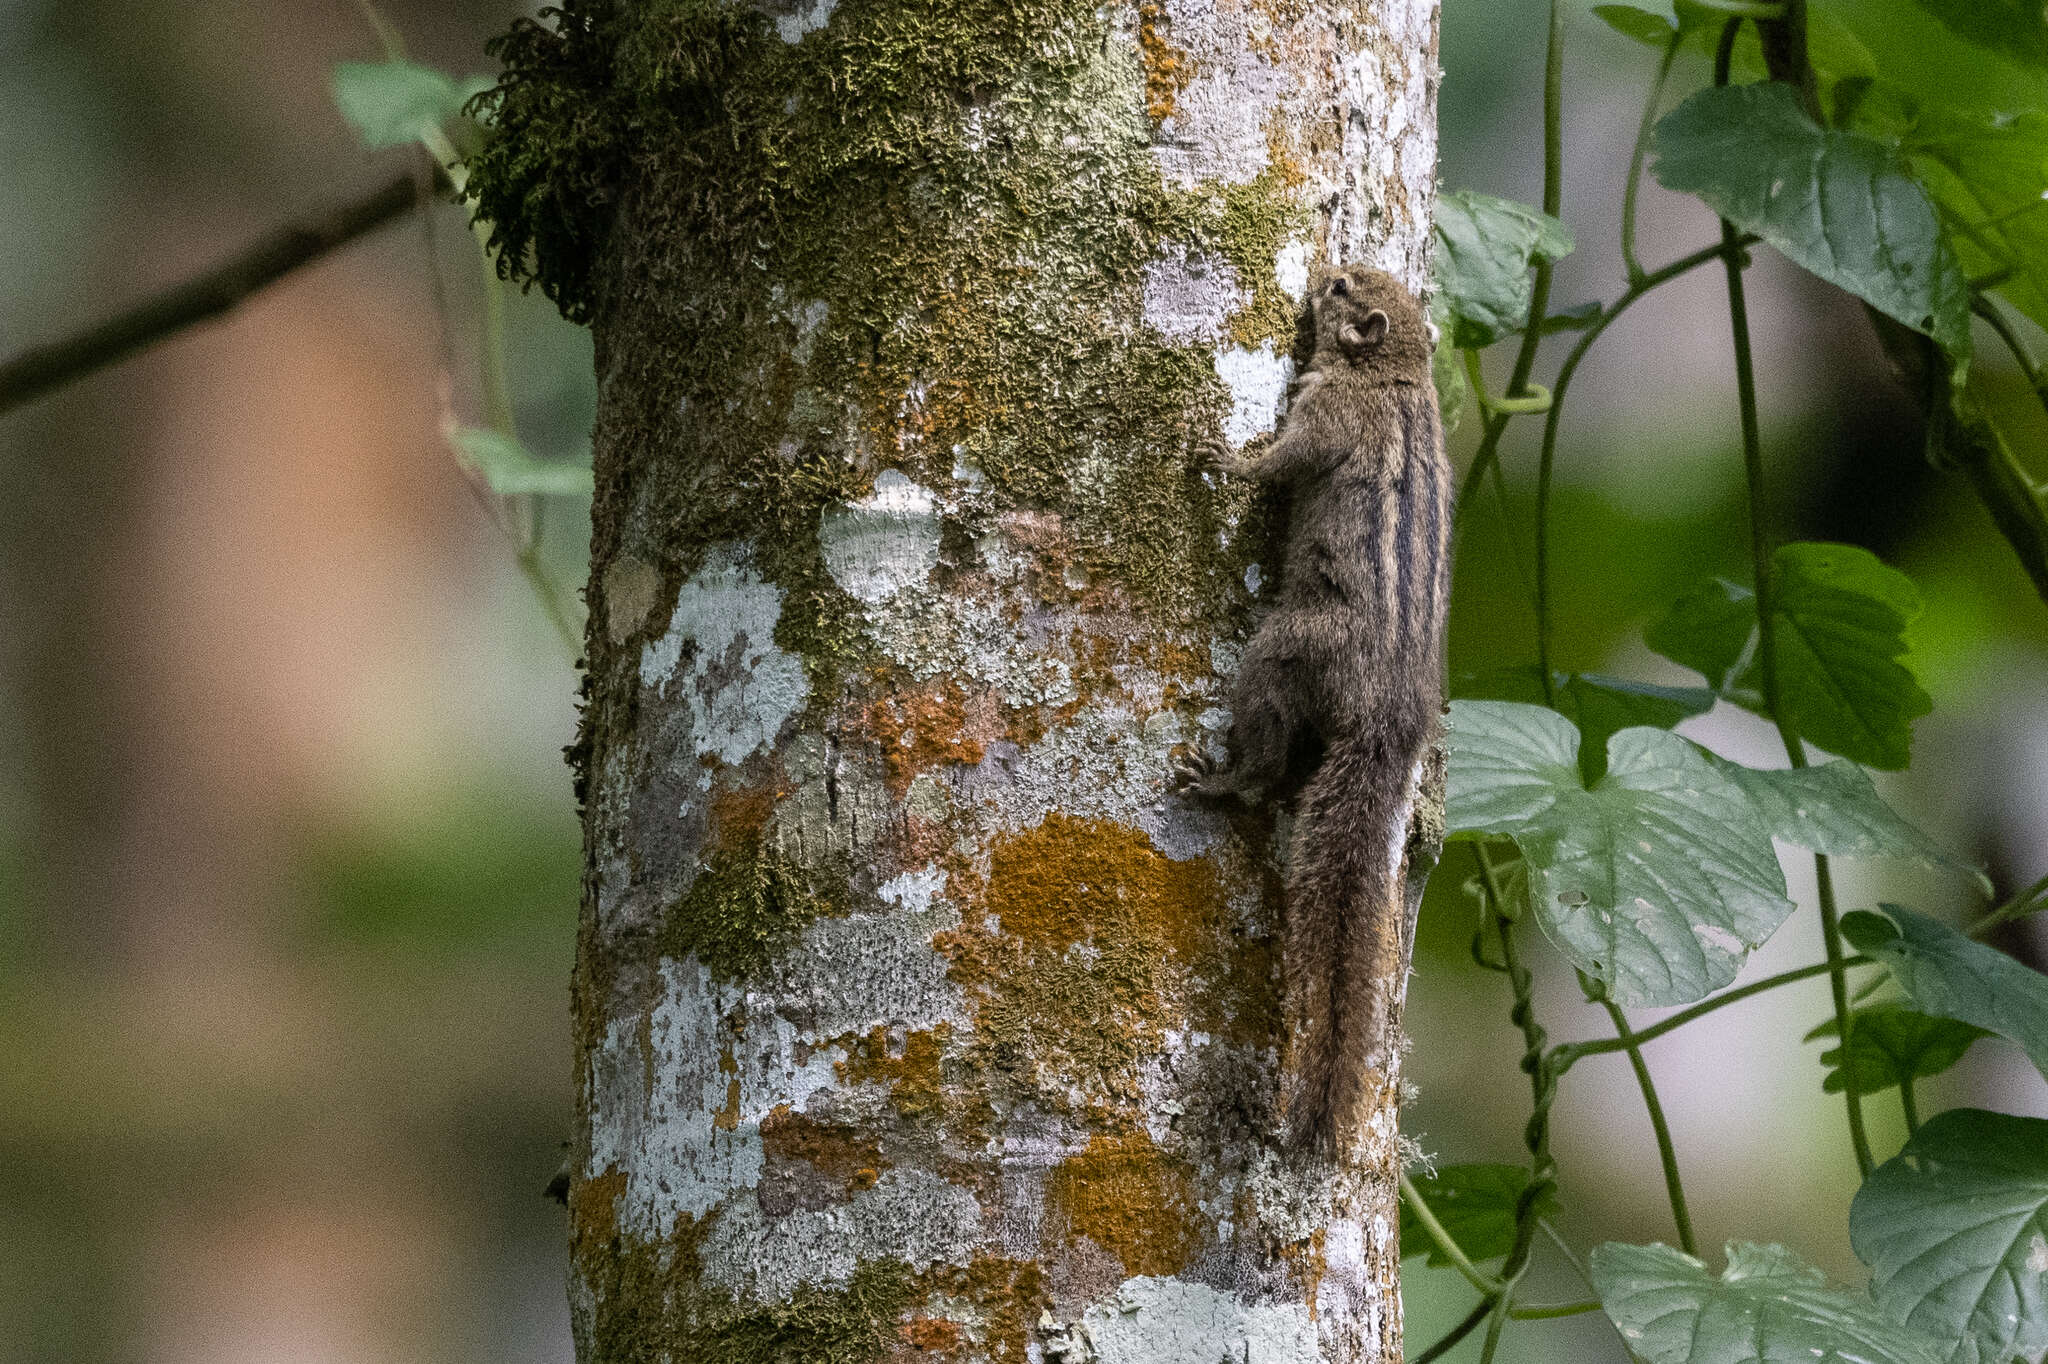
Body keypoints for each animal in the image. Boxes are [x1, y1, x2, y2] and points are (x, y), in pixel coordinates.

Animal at [1171, 260, 1458, 1155]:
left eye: (1342, 287)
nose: (1324, 269)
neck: (1395, 373)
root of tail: (1391, 720)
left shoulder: (1328, 420)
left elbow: (1281, 463)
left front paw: (1223, 458)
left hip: (1285, 647)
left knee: (1266, 760)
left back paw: (1225, 779)